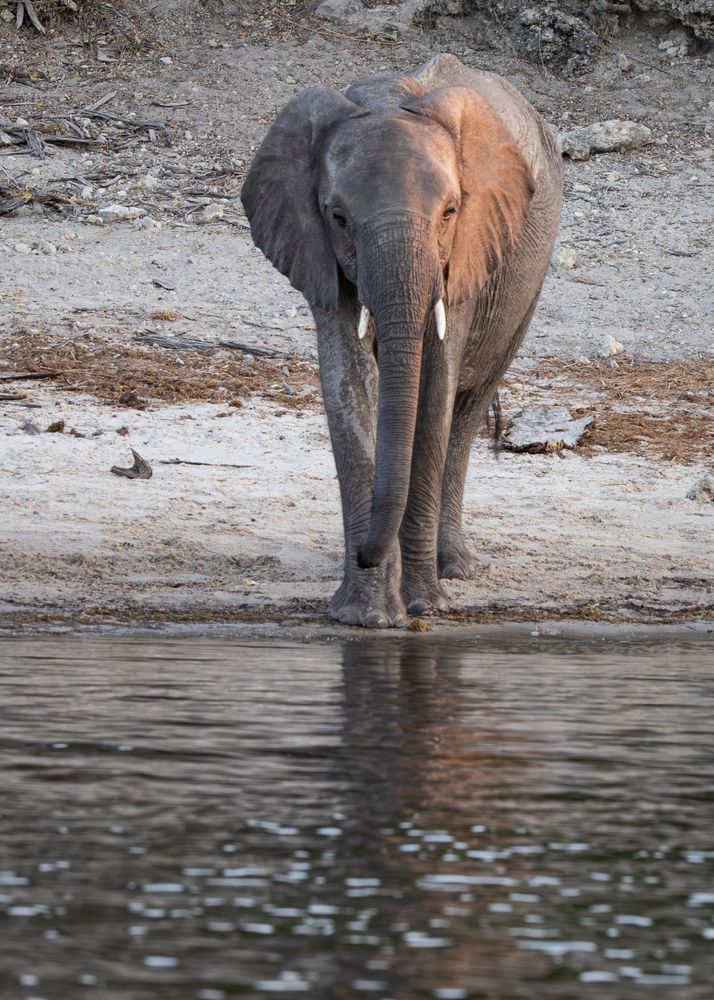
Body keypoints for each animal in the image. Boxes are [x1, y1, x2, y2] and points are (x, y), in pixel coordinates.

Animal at [241, 54, 563, 628]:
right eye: (338, 218)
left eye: (450, 213)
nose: (366, 552)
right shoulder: (317, 252)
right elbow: (347, 386)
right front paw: (364, 616)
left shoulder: (466, 254)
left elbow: (434, 394)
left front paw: (422, 605)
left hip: (527, 280)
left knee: (466, 412)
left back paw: (453, 568)